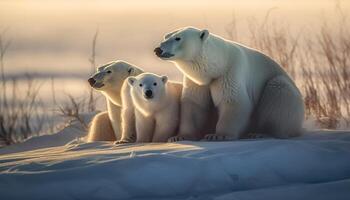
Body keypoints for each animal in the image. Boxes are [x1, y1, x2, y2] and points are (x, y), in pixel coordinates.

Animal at [154, 26, 304, 141]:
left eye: (178, 38)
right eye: (166, 37)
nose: (158, 49)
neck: (218, 64)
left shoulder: (230, 72)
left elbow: (233, 101)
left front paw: (218, 135)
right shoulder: (197, 81)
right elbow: (194, 104)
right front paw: (180, 136)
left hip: (284, 91)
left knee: (279, 91)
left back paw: (260, 133)